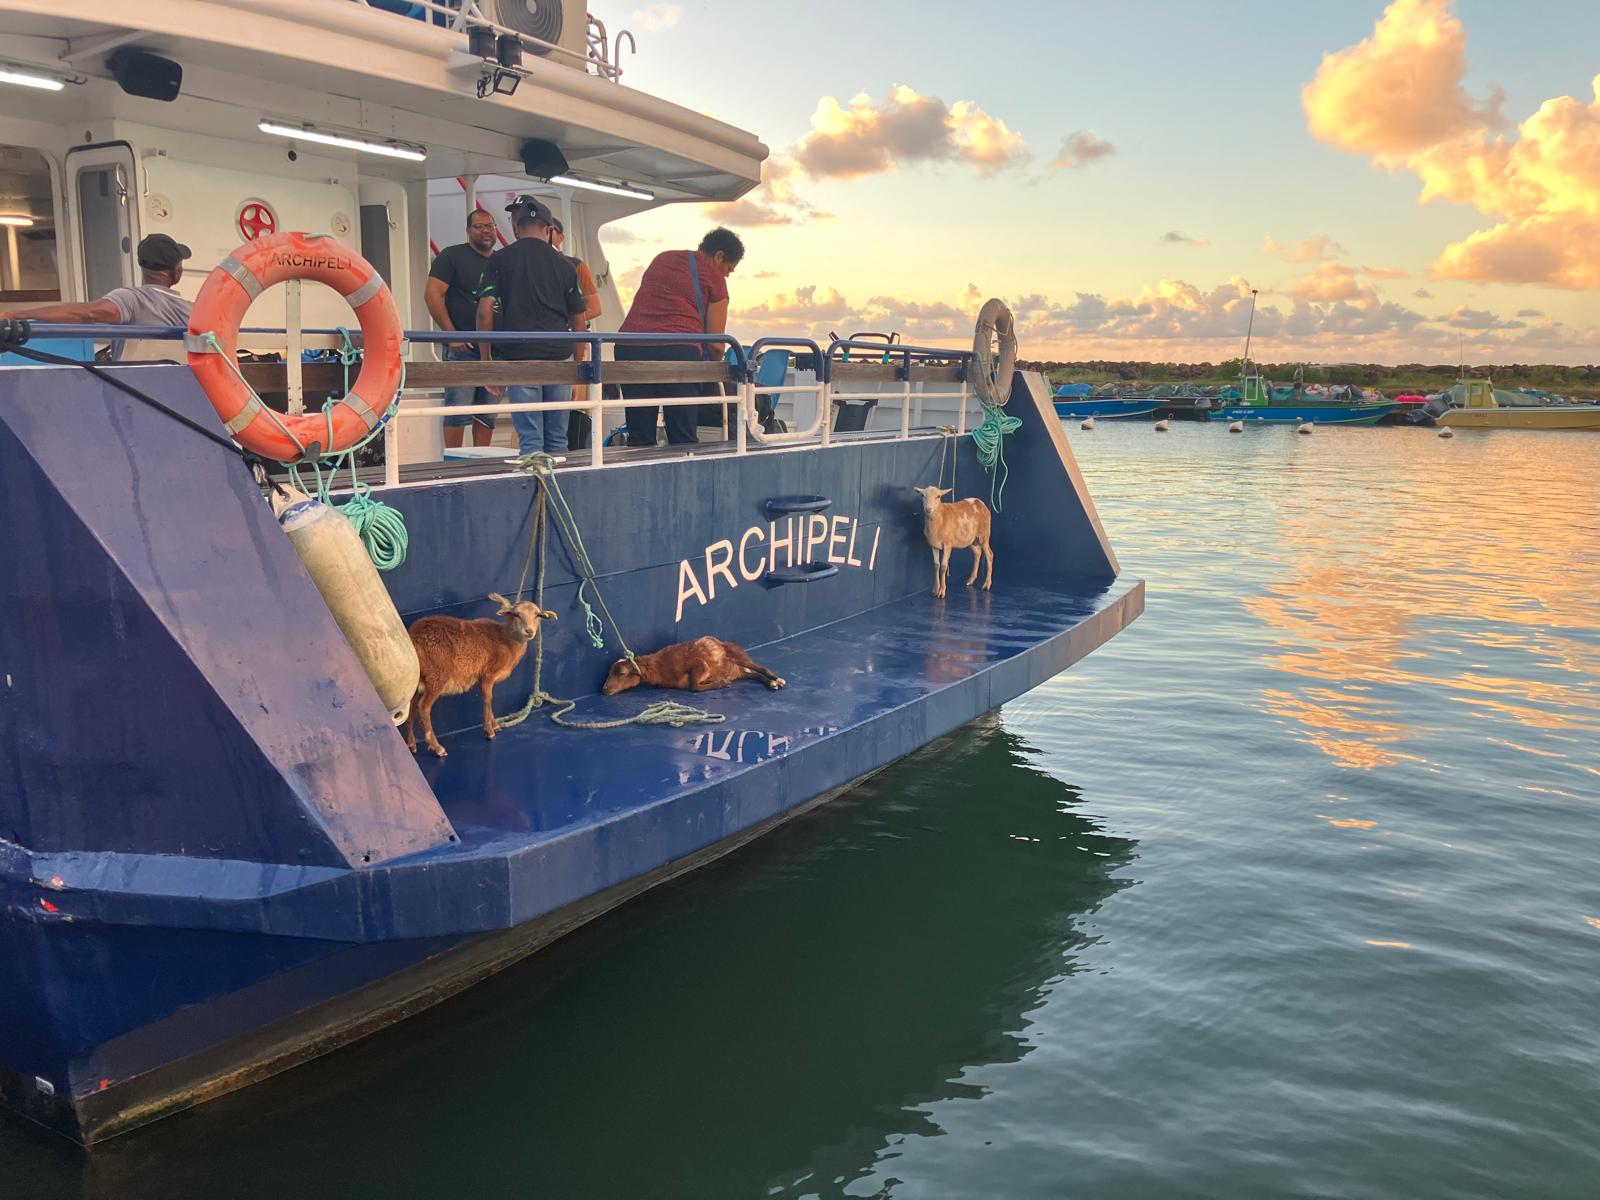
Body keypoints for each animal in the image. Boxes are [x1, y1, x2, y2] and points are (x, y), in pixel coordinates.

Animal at [404, 593, 556, 758]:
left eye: (538, 615)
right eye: (516, 614)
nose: (529, 631)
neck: (506, 640)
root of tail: (414, 637)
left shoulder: (484, 677)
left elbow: (488, 699)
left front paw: (495, 725)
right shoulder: (488, 674)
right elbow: (488, 699)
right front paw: (489, 731)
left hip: (418, 678)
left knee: (411, 706)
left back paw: (411, 744)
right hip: (437, 676)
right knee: (423, 708)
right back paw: (437, 747)